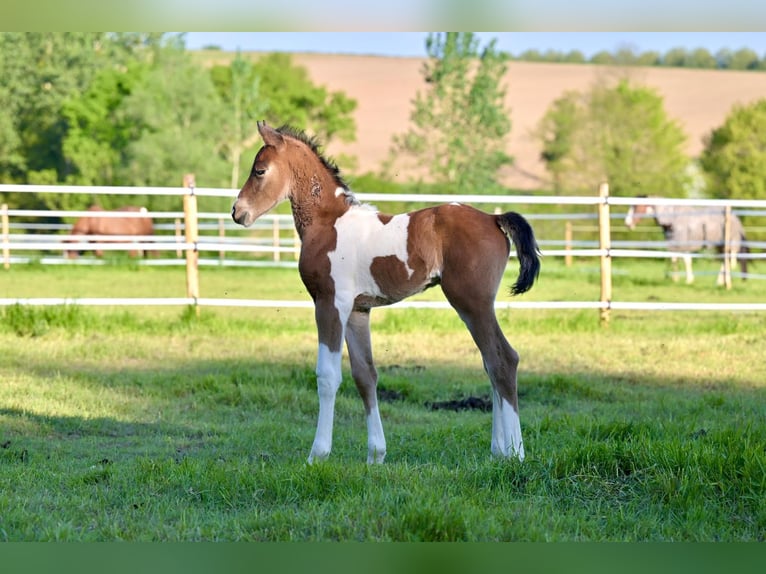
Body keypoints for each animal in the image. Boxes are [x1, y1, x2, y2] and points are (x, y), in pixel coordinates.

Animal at [232, 122, 541, 464]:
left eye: (259, 171)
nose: (237, 212)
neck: (328, 223)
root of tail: (494, 219)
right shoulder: (357, 311)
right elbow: (365, 375)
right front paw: (375, 455)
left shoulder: (329, 303)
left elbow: (328, 376)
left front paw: (317, 454)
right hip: (472, 307)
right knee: (490, 362)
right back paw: (498, 450)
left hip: (473, 302)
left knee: (503, 360)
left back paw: (515, 452)